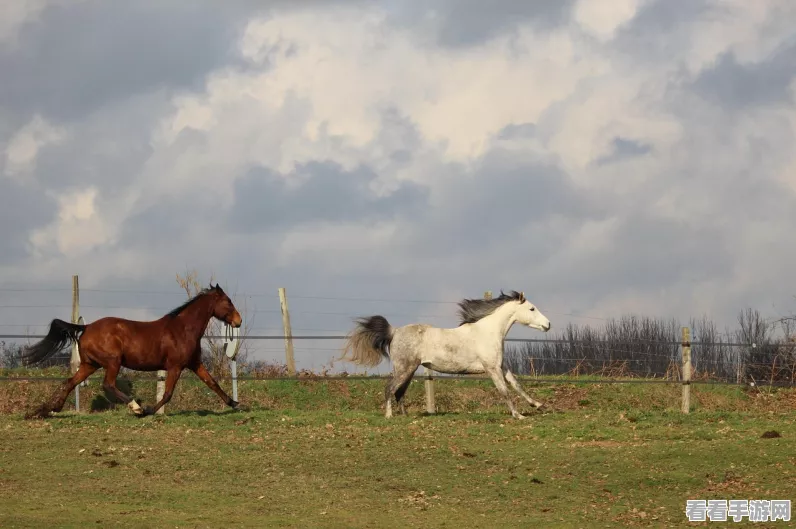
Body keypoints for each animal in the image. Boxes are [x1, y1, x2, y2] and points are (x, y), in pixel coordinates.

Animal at [24, 282, 243, 418]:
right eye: (228, 301)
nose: (238, 321)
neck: (183, 329)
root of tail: (86, 327)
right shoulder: (175, 366)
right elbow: (167, 394)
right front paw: (148, 411)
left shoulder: (194, 363)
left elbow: (212, 383)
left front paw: (235, 404)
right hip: (113, 362)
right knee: (108, 384)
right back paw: (136, 408)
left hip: (90, 365)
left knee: (70, 382)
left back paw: (47, 410)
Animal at [338, 288, 552, 416]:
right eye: (532, 309)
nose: (548, 324)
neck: (488, 332)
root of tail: (394, 331)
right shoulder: (492, 368)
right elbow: (504, 391)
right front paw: (518, 415)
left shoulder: (502, 366)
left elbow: (517, 385)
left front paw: (538, 405)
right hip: (404, 369)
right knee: (390, 389)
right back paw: (389, 416)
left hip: (410, 370)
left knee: (399, 392)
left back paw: (404, 416)